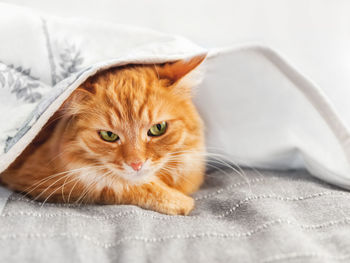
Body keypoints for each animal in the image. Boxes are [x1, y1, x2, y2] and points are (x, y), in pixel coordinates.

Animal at [0, 55, 205, 217]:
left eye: (158, 128)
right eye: (109, 135)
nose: (136, 164)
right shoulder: (41, 177)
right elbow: (117, 184)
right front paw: (179, 202)